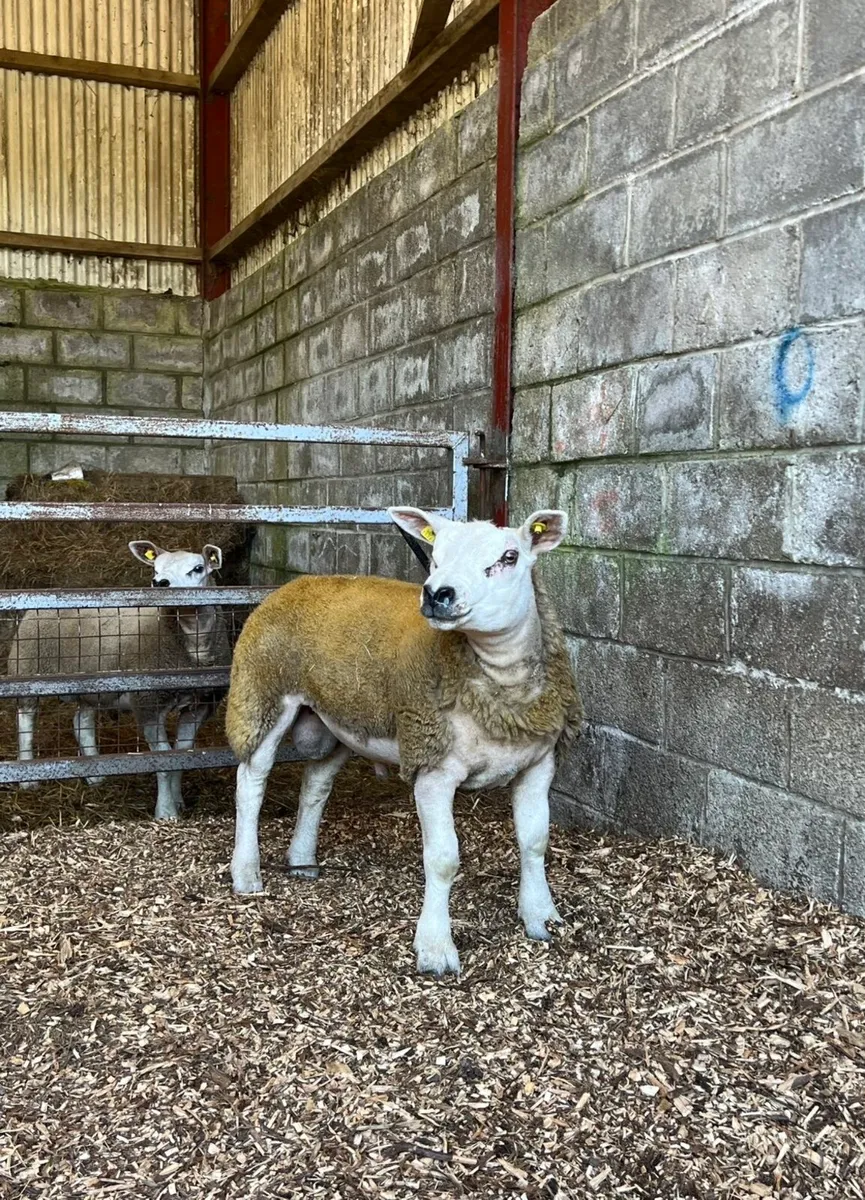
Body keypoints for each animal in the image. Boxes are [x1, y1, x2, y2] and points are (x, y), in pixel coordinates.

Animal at [7, 540, 231, 820]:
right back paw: (28, 778)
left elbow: (184, 752)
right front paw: (166, 811)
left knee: (81, 721)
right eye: (155, 569)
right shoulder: (147, 703)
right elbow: (164, 757)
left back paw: (95, 774)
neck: (192, 646)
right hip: (26, 671)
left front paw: (178, 801)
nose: (159, 583)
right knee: (25, 722)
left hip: (92, 686)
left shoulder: (201, 705)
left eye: (198, 568)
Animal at [225, 508, 582, 976]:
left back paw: (302, 860)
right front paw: (435, 949)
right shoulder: (432, 767)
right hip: (262, 692)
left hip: (340, 719)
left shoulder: (539, 764)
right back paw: (247, 873)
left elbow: (535, 840)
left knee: (315, 785)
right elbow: (443, 859)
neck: (499, 685)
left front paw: (542, 917)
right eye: (436, 556)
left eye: (510, 556)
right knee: (251, 782)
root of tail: (298, 583)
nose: (437, 593)